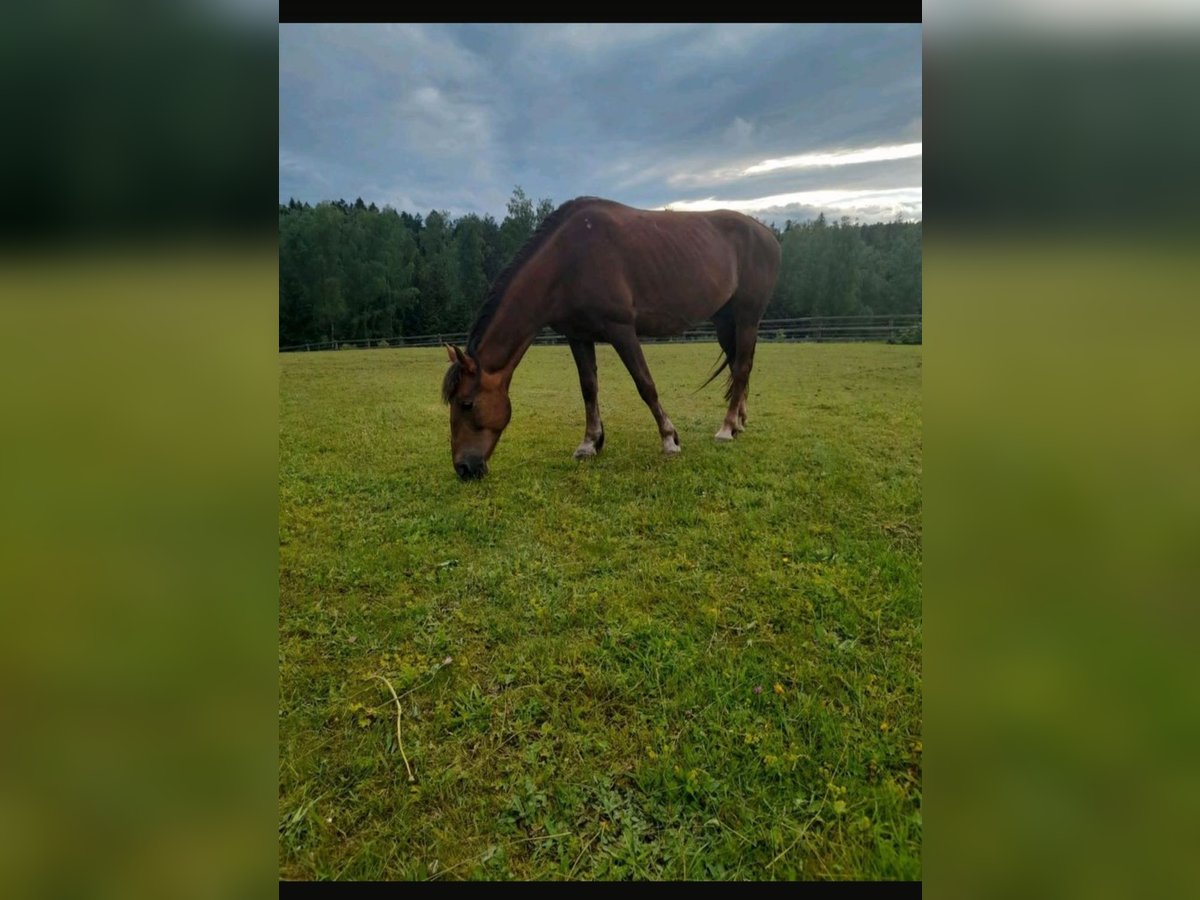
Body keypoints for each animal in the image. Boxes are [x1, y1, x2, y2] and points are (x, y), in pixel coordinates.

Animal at [441, 194, 777, 482]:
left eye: (467, 404)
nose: (463, 468)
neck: (568, 260)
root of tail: (766, 234)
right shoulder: (577, 336)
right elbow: (588, 388)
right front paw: (590, 443)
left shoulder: (621, 330)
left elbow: (645, 384)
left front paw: (669, 439)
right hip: (725, 321)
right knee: (736, 366)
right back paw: (738, 422)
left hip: (747, 317)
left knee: (742, 367)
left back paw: (726, 429)